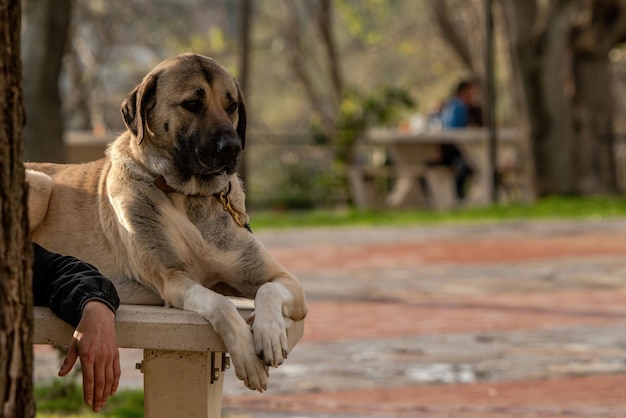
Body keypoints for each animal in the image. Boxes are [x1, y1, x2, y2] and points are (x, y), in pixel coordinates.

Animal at [26, 53, 308, 392]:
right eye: (192, 104)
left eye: (232, 106)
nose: (232, 147)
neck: (191, 196)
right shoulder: (173, 280)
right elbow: (222, 304)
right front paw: (248, 356)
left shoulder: (285, 280)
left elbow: (268, 289)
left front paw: (270, 333)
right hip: (40, 183)